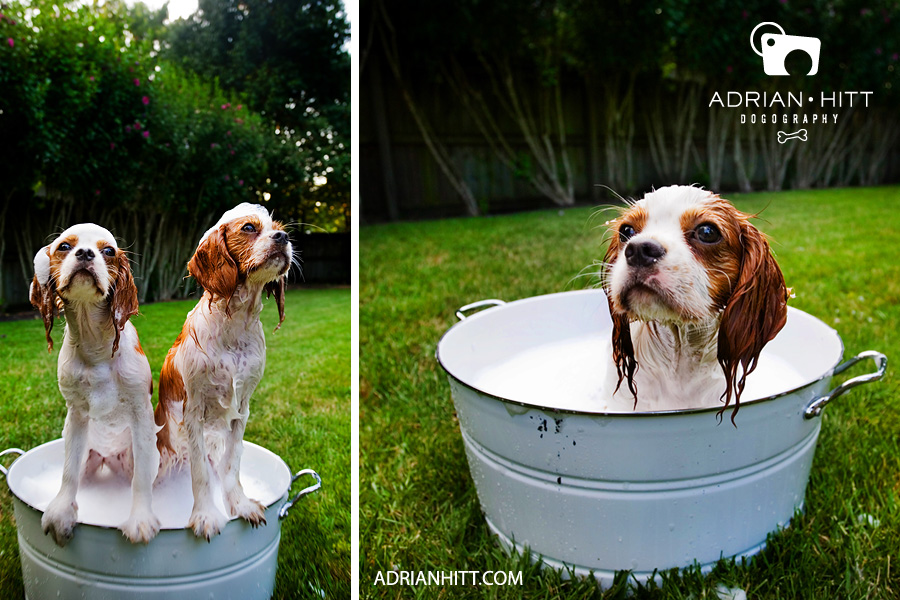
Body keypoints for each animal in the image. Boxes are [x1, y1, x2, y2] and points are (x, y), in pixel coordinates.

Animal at [29, 224, 160, 544]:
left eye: (108, 251)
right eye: (64, 246)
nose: (86, 253)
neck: (95, 344)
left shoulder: (141, 414)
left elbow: (141, 480)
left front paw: (140, 519)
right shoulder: (76, 415)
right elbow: (68, 472)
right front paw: (61, 511)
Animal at [153, 204, 290, 540]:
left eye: (278, 228)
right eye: (249, 228)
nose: (284, 238)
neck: (235, 326)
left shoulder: (242, 409)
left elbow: (233, 462)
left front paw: (239, 504)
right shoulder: (194, 413)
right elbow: (200, 473)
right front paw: (205, 515)